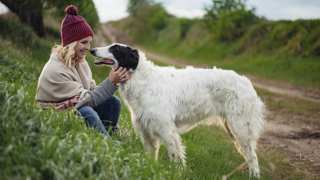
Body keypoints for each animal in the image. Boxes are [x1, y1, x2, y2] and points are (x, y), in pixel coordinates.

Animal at [90, 43, 264, 178]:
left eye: (115, 48)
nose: (92, 50)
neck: (143, 79)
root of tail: (246, 81)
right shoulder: (146, 130)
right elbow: (150, 157)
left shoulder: (167, 130)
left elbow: (176, 157)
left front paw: (177, 173)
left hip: (241, 128)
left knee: (253, 157)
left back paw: (254, 176)